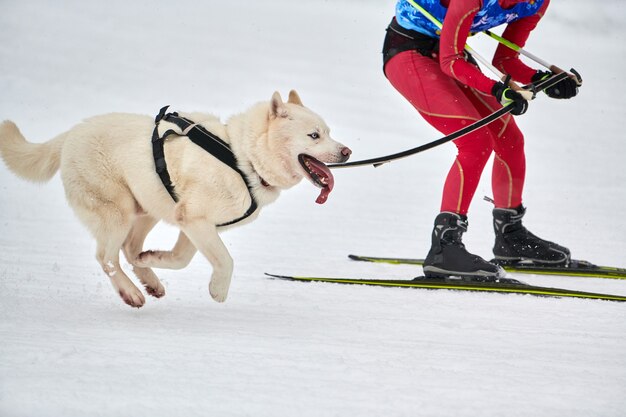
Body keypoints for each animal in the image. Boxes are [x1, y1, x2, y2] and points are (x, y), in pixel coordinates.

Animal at [0, 90, 352, 306]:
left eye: (329, 132)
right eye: (314, 135)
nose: (347, 152)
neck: (243, 158)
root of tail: (70, 135)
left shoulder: (195, 224)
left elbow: (181, 259)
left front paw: (153, 259)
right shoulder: (196, 220)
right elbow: (225, 260)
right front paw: (218, 290)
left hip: (148, 209)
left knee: (129, 250)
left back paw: (149, 278)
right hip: (118, 213)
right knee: (107, 258)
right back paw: (131, 292)